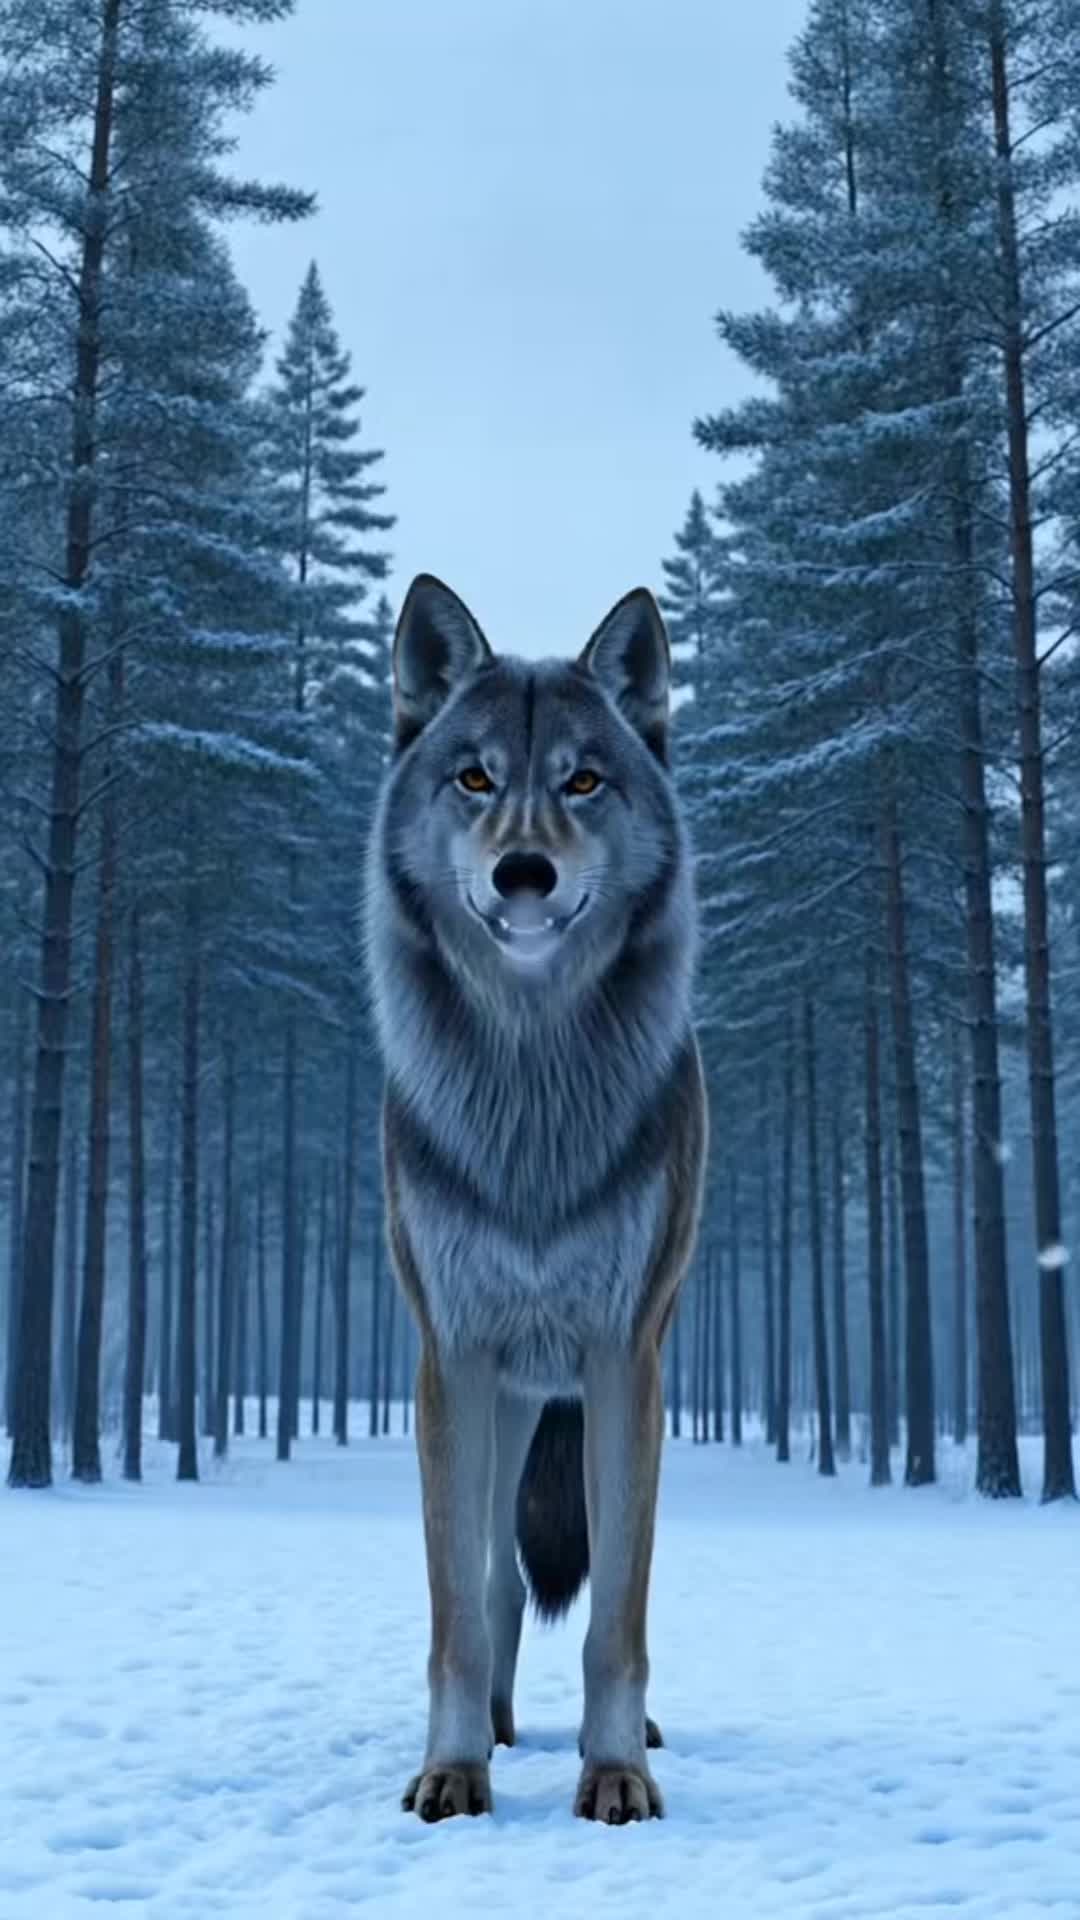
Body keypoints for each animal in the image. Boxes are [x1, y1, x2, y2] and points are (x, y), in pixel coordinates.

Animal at [364, 573, 707, 1825]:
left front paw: (616, 1773)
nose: (523, 872)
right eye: (474, 777)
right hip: (509, 1401)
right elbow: (459, 1611)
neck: (532, 1095)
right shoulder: (452, 1359)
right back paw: (505, 1731)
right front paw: (453, 1770)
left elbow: (618, 1617)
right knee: (499, 1581)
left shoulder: (625, 1360)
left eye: (582, 780)